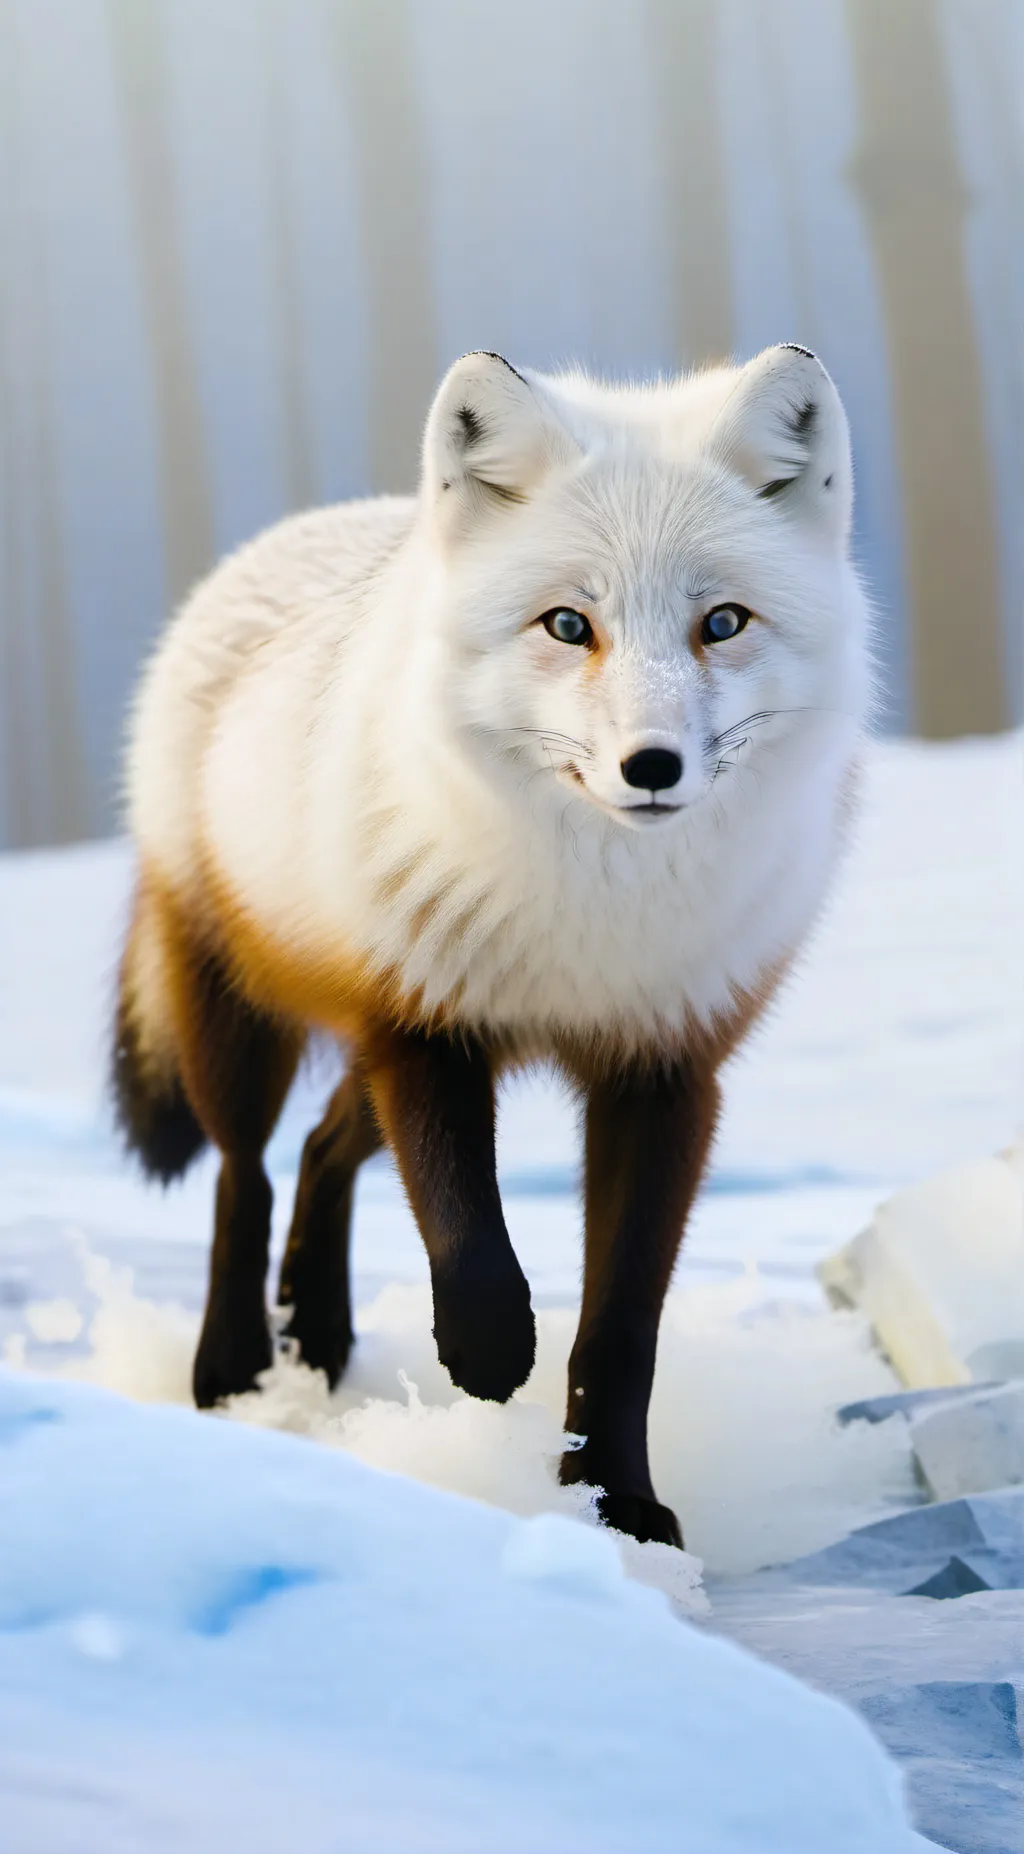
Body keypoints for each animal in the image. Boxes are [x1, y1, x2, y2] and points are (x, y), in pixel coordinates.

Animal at [113, 344, 870, 1548]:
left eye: (722, 624)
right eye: (567, 625)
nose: (652, 766)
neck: (588, 918)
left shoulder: (665, 1067)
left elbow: (620, 1329)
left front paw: (619, 1504)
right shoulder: (423, 1021)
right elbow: (467, 1241)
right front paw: (485, 1360)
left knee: (322, 1151)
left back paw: (317, 1333)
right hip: (240, 1022)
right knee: (246, 1177)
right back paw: (233, 1369)